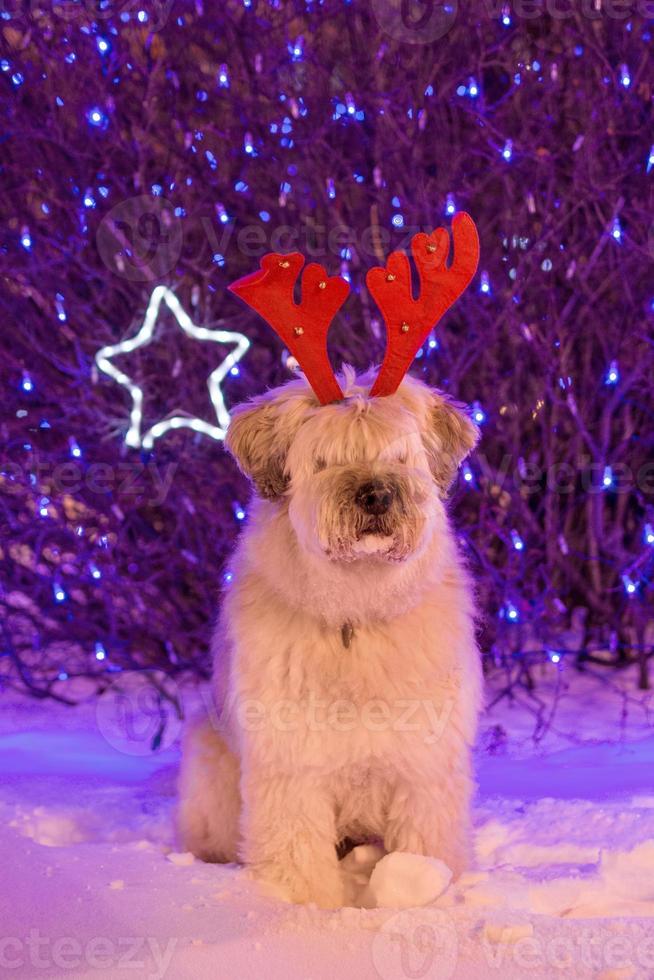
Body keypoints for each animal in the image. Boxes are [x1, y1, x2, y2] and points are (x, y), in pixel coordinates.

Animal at [177, 368, 484, 912]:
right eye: (326, 458)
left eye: (398, 455)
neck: (354, 611)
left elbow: (425, 843)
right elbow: (297, 856)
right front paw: (309, 912)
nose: (377, 495)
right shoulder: (291, 768)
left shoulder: (425, 765)